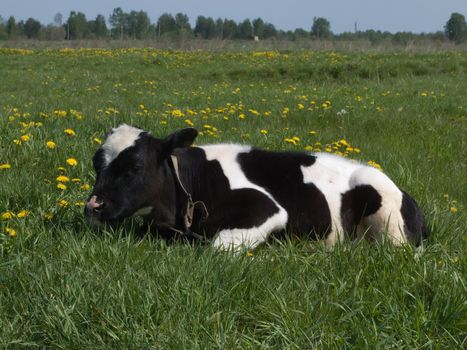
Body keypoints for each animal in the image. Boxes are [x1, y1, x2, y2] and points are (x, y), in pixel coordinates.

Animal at [86, 123, 430, 249]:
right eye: (95, 164)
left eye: (136, 167)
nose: (93, 206)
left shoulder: (270, 209)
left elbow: (219, 246)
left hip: (386, 218)